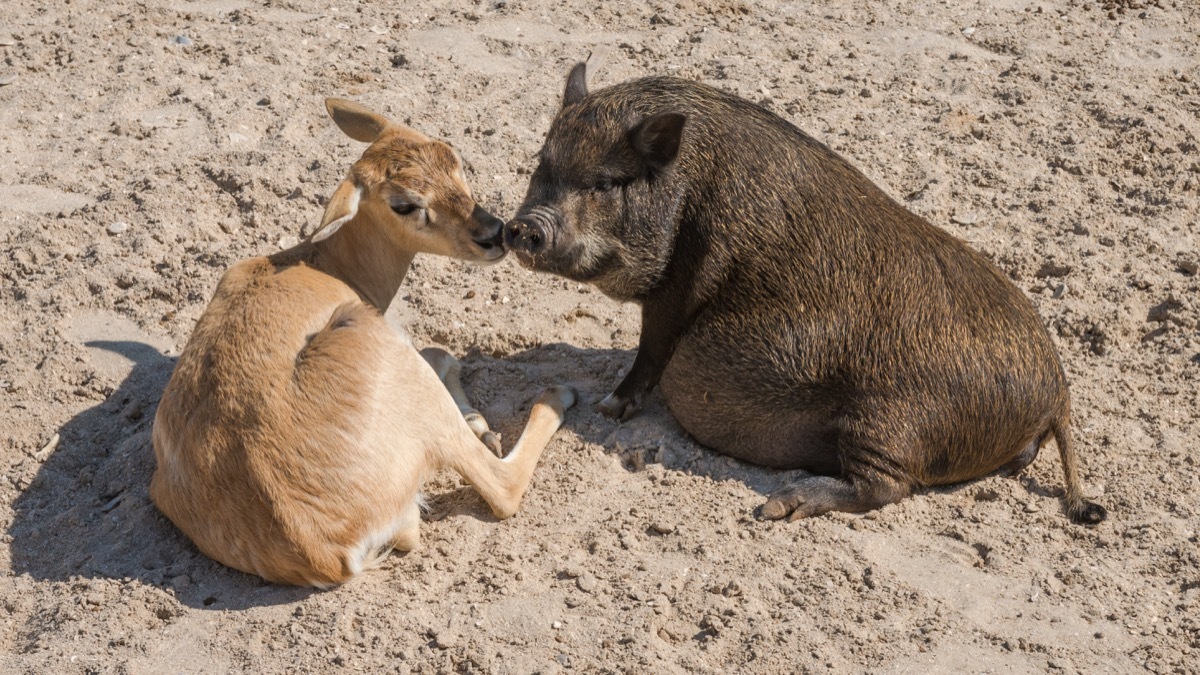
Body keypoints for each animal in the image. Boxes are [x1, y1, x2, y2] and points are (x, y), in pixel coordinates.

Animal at [501, 63, 1099, 523]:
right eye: (541, 164)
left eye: (603, 183)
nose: (522, 228)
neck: (686, 187)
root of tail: (1057, 394)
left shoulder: (677, 289)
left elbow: (651, 348)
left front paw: (608, 408)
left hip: (892, 419)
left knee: (889, 487)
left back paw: (774, 507)